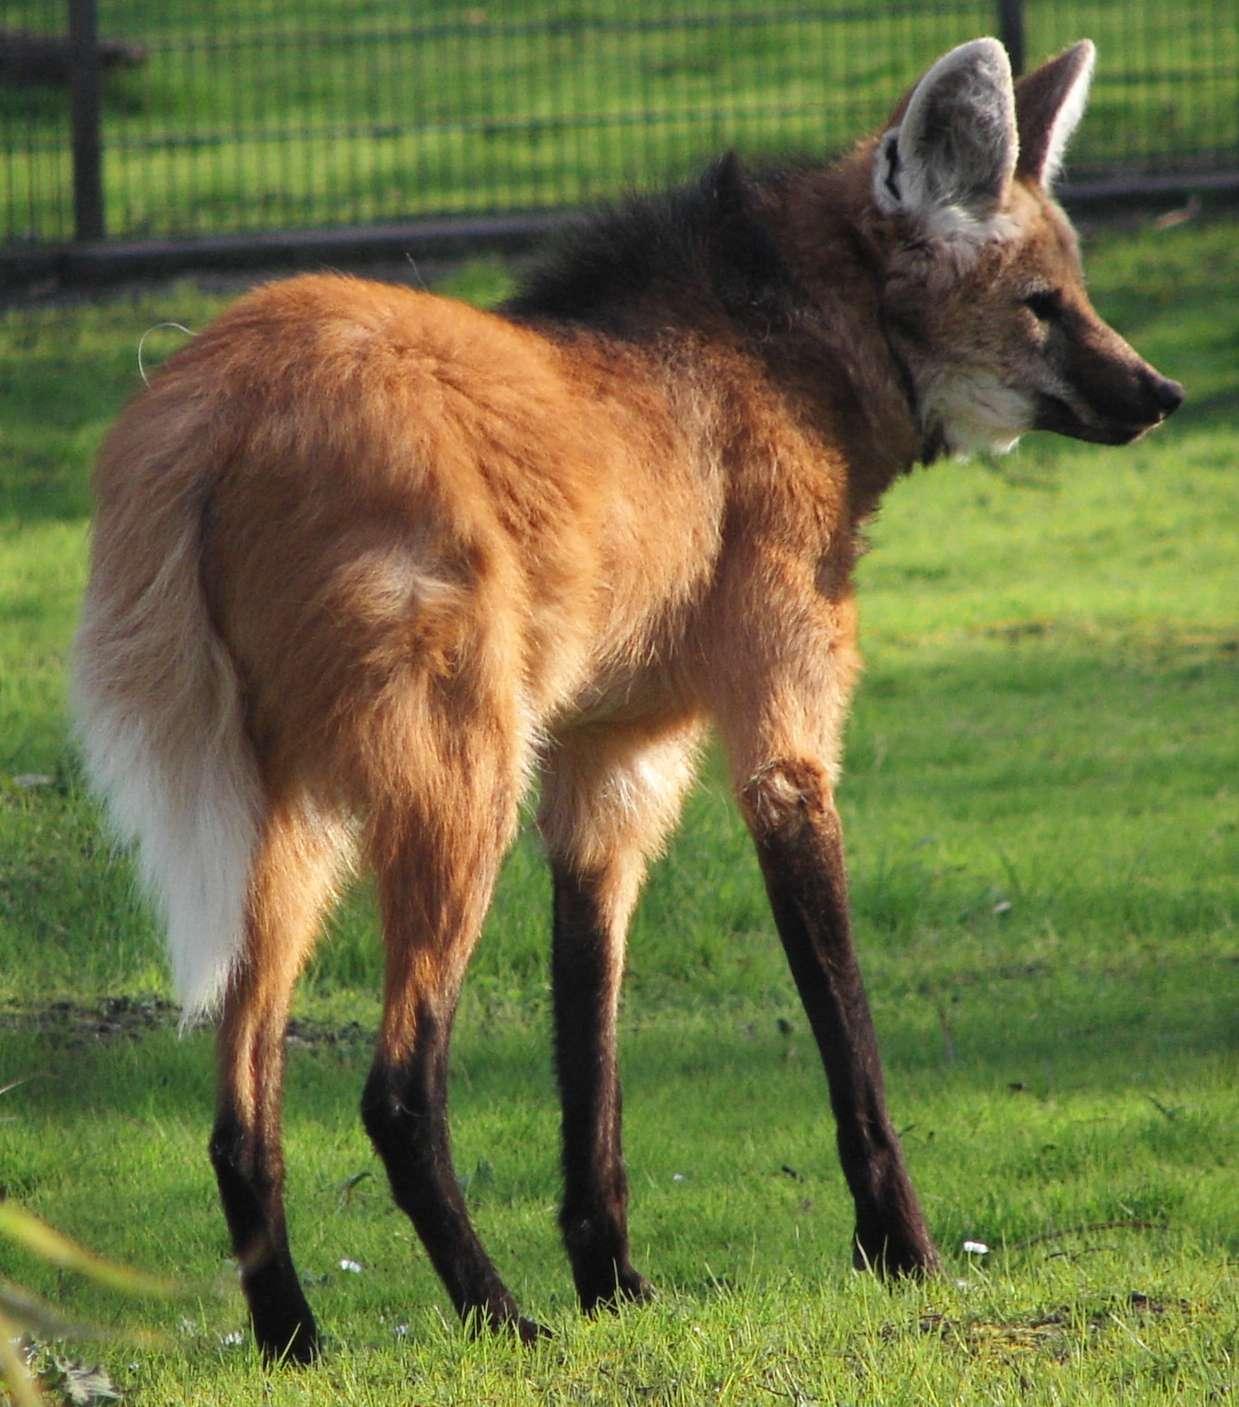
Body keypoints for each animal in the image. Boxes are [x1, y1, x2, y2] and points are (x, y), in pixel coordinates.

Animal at [69, 35, 1181, 1361]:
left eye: (1076, 293)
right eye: (1042, 303)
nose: (1162, 393)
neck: (786, 359)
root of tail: (202, 406)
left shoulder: (612, 761)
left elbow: (588, 1045)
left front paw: (613, 1282)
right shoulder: (780, 743)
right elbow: (846, 1036)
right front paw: (901, 1252)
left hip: (288, 819)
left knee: (243, 1110)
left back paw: (298, 1340)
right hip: (459, 782)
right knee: (398, 1087)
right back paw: (498, 1319)